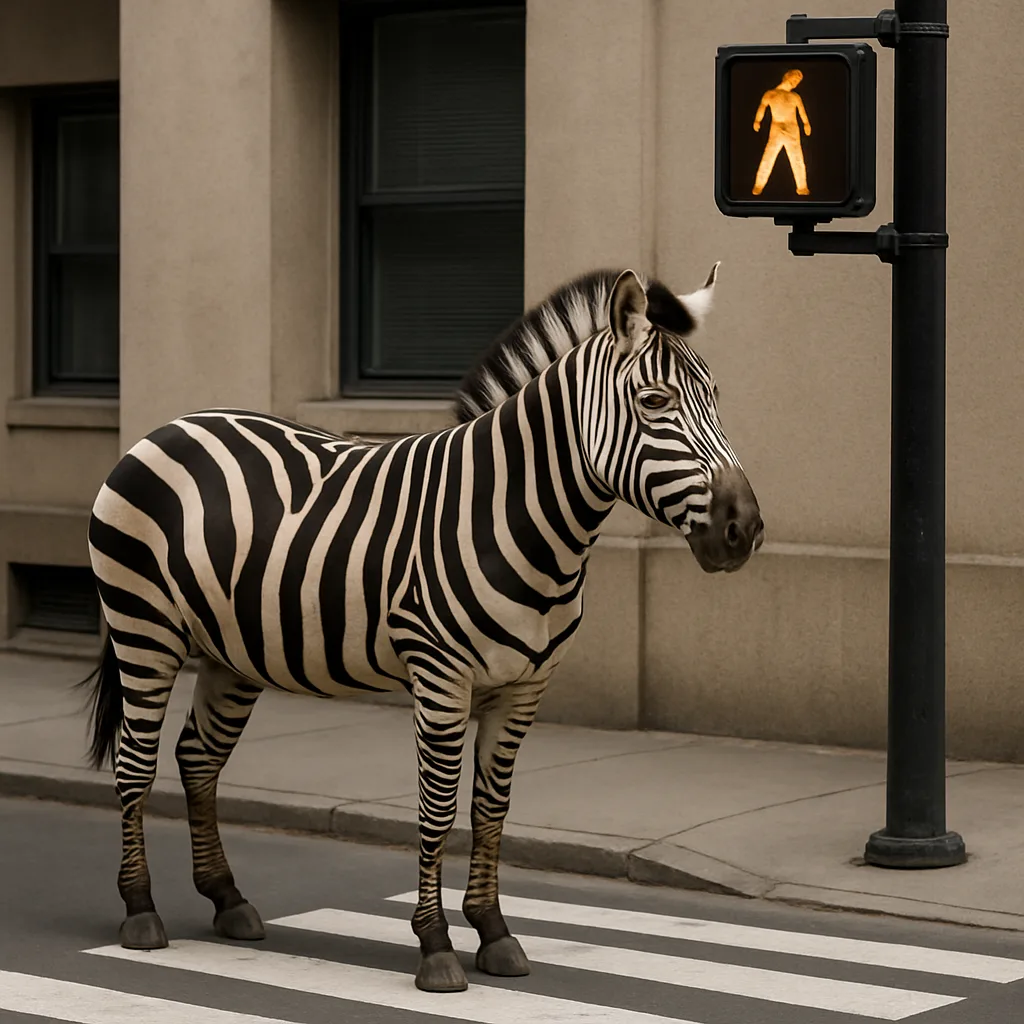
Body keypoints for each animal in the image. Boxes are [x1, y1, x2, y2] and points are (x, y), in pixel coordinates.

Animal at [79, 266, 763, 993]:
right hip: (143, 625)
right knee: (136, 762)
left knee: (198, 757)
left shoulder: (524, 689)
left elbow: (492, 809)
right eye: (655, 401)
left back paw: (227, 899)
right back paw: (141, 911)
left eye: (716, 400)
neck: (517, 521)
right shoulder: (441, 676)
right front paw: (436, 947)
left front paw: (494, 933)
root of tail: (168, 427)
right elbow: (437, 808)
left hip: (231, 651)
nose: (744, 529)